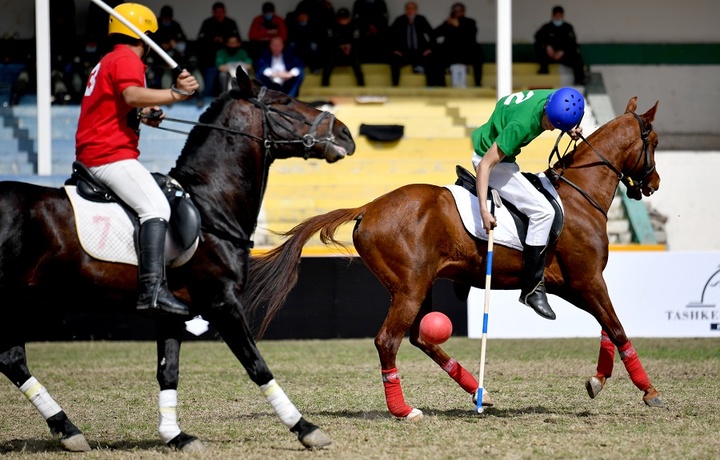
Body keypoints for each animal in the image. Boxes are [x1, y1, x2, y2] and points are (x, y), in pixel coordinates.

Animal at [0, 70, 354, 452]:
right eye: (284, 101)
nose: (346, 135)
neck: (209, 203)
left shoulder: (172, 313)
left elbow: (168, 370)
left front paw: (176, 435)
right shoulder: (221, 302)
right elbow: (256, 365)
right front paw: (305, 428)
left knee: (12, 358)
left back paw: (67, 429)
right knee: (12, 358)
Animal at [243, 97, 664, 420]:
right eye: (655, 142)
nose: (654, 183)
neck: (580, 194)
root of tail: (368, 207)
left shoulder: (579, 284)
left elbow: (608, 327)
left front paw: (598, 380)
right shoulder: (587, 279)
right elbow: (618, 329)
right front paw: (649, 391)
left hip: (418, 286)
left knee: (420, 337)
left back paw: (479, 393)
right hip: (410, 288)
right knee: (388, 341)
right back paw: (404, 409)